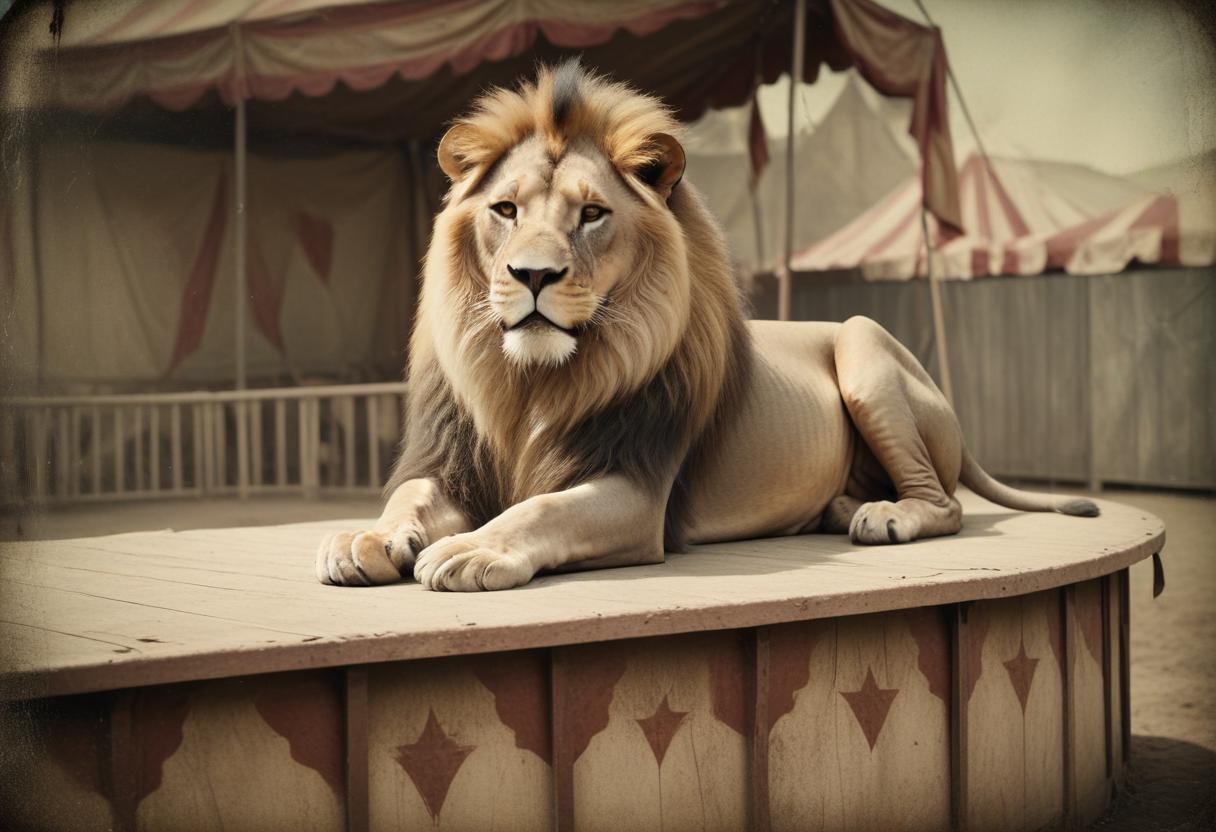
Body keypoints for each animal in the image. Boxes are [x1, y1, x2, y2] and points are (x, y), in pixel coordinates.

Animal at [316, 61, 1097, 592]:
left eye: (591, 214)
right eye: (506, 210)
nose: (532, 276)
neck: (531, 381)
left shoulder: (636, 489)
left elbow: (540, 511)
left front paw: (473, 549)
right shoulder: (450, 464)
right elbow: (408, 497)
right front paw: (364, 538)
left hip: (863, 344)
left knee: (947, 502)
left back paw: (886, 515)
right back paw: (844, 505)